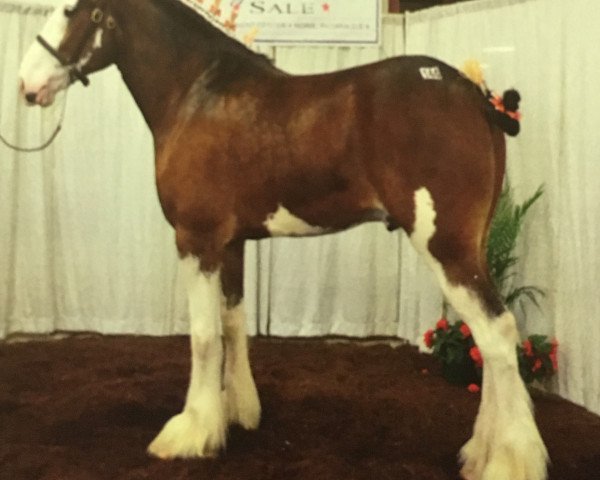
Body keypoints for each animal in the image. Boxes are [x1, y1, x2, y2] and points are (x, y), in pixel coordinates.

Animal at [17, 1, 548, 478]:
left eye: (69, 10)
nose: (26, 84)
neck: (196, 93)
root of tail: (477, 97)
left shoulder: (196, 239)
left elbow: (204, 335)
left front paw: (190, 432)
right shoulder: (230, 244)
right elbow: (233, 323)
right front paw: (235, 413)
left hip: (446, 247)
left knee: (496, 334)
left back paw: (508, 462)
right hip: (469, 247)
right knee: (489, 338)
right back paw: (478, 453)